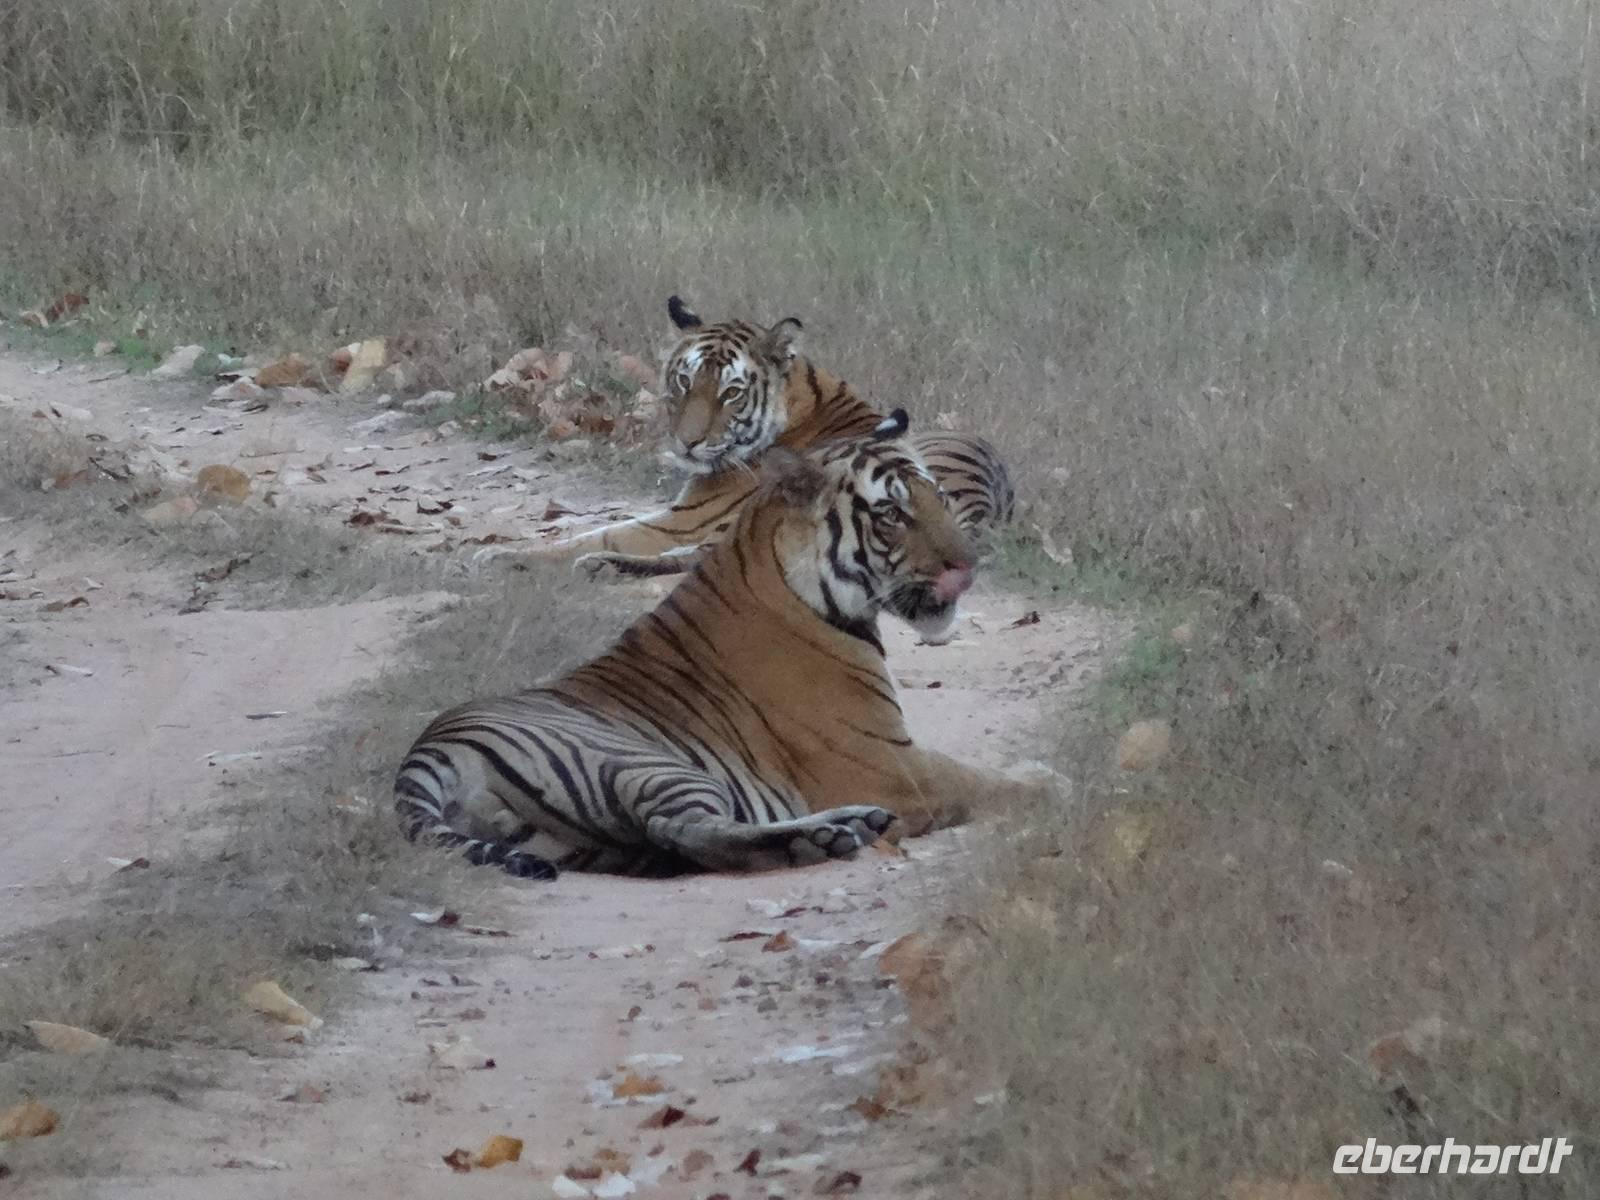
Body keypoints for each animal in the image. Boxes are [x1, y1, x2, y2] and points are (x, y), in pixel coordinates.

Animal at [395, 412, 1058, 879]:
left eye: (939, 500)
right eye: (892, 514)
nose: (969, 566)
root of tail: (429, 748)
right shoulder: (888, 767)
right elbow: (977, 781)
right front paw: (1047, 781)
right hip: (644, 763)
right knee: (685, 830)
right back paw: (830, 835)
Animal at [528, 295, 1014, 580]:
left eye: (731, 393)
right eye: (685, 382)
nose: (686, 443)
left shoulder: (682, 520)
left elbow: (597, 535)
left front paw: (519, 556)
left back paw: (596, 566)